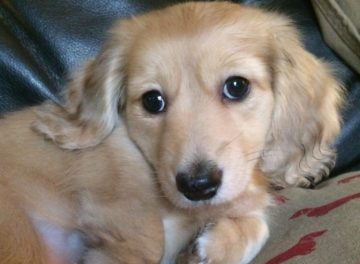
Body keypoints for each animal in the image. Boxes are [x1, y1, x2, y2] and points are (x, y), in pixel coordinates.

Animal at [0, 2, 344, 264]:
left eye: (236, 86)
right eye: (153, 100)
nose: (198, 186)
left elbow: (258, 222)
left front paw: (216, 246)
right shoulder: (110, 186)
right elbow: (148, 241)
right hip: (19, 233)